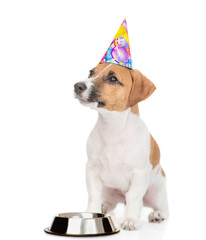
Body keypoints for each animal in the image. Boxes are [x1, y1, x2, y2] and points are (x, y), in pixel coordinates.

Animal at [74, 62, 169, 230]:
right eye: (91, 72)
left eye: (113, 79)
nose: (77, 86)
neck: (113, 128)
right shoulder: (92, 169)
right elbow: (93, 194)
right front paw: (91, 213)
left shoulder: (139, 173)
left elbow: (133, 196)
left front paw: (130, 219)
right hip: (107, 190)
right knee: (109, 202)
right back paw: (103, 207)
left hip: (156, 192)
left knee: (163, 208)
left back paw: (158, 214)